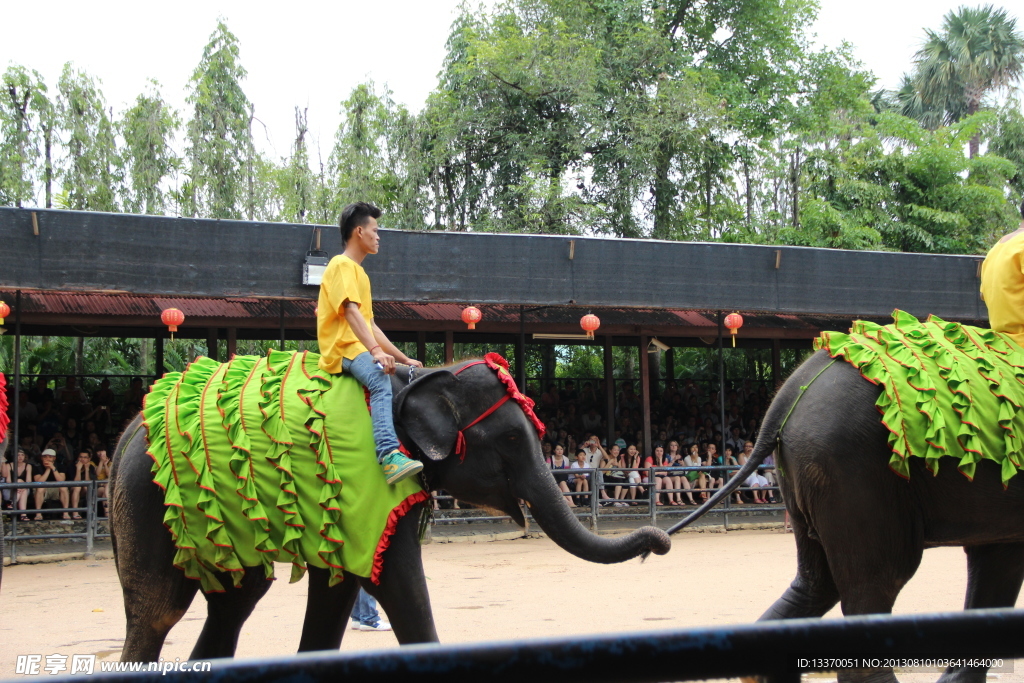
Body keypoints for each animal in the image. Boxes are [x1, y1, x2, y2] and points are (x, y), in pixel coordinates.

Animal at [110, 358, 671, 663]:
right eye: (514, 437)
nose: (659, 543)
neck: (418, 376)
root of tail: (128, 432)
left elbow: (336, 592)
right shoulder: (370, 481)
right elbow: (397, 584)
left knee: (234, 602)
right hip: (148, 503)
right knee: (159, 612)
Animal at [671, 352, 1024, 683]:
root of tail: (785, 397)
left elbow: (996, 560)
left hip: (810, 473)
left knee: (818, 582)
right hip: (856, 469)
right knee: (878, 577)